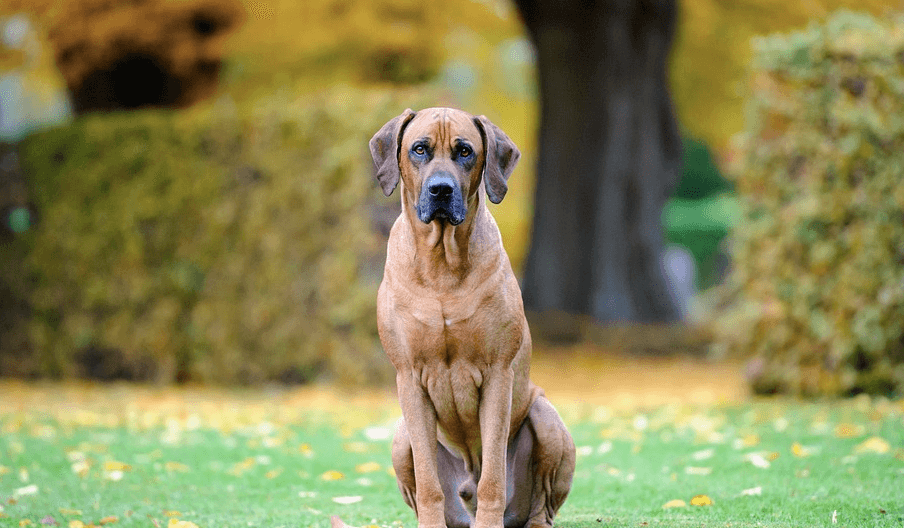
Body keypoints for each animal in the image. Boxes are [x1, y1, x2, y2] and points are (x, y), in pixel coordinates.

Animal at [370, 108, 576, 528]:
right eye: (419, 149)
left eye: (465, 151)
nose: (441, 190)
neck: (442, 265)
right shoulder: (409, 377)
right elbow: (428, 482)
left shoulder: (498, 374)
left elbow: (493, 474)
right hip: (400, 437)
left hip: (545, 417)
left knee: (541, 504)